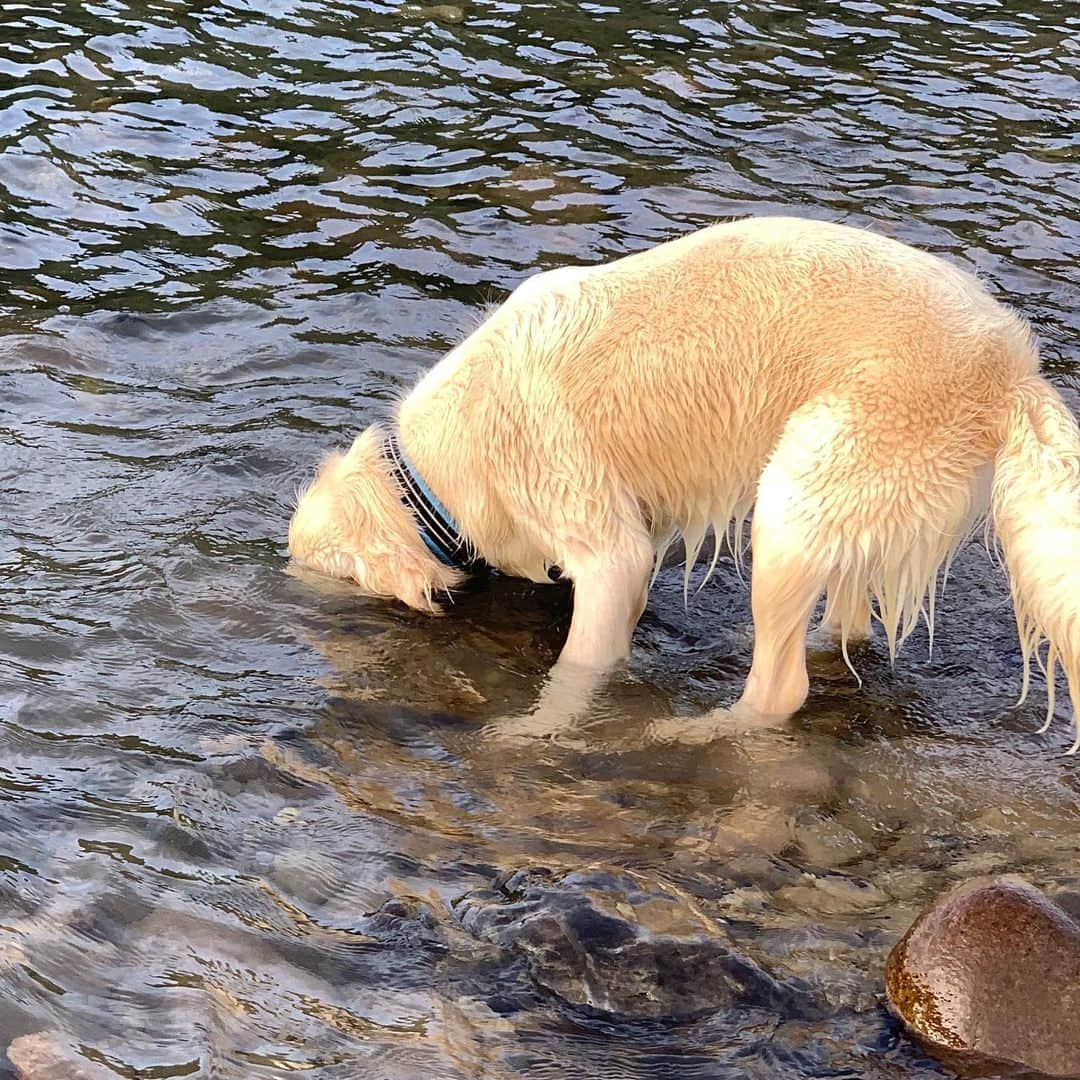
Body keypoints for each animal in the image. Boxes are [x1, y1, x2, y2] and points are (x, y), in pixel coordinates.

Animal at [287, 216, 1080, 747]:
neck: (430, 473)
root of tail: (1015, 370)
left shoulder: (605, 545)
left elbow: (579, 666)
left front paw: (530, 733)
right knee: (846, 622)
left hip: (803, 480)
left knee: (780, 686)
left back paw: (692, 733)